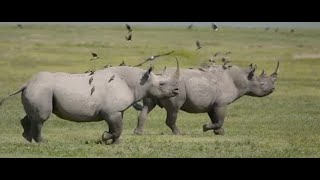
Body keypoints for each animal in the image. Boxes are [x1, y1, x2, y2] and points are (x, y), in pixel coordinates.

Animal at [0, 60, 180, 145]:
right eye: (162, 84)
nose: (176, 91)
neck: (138, 82)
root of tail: (26, 83)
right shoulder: (111, 111)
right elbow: (116, 128)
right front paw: (105, 138)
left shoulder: (115, 110)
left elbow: (117, 127)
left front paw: (115, 143)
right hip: (41, 89)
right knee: (41, 118)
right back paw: (42, 143)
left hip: (38, 89)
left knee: (32, 117)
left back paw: (27, 138)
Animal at [134, 60, 278, 135]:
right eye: (262, 85)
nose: (273, 89)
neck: (242, 79)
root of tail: (159, 75)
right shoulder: (221, 104)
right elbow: (219, 119)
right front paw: (205, 127)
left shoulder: (212, 104)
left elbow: (215, 118)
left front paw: (219, 132)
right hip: (175, 89)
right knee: (174, 110)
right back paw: (179, 133)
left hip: (153, 84)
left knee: (147, 106)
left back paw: (138, 133)